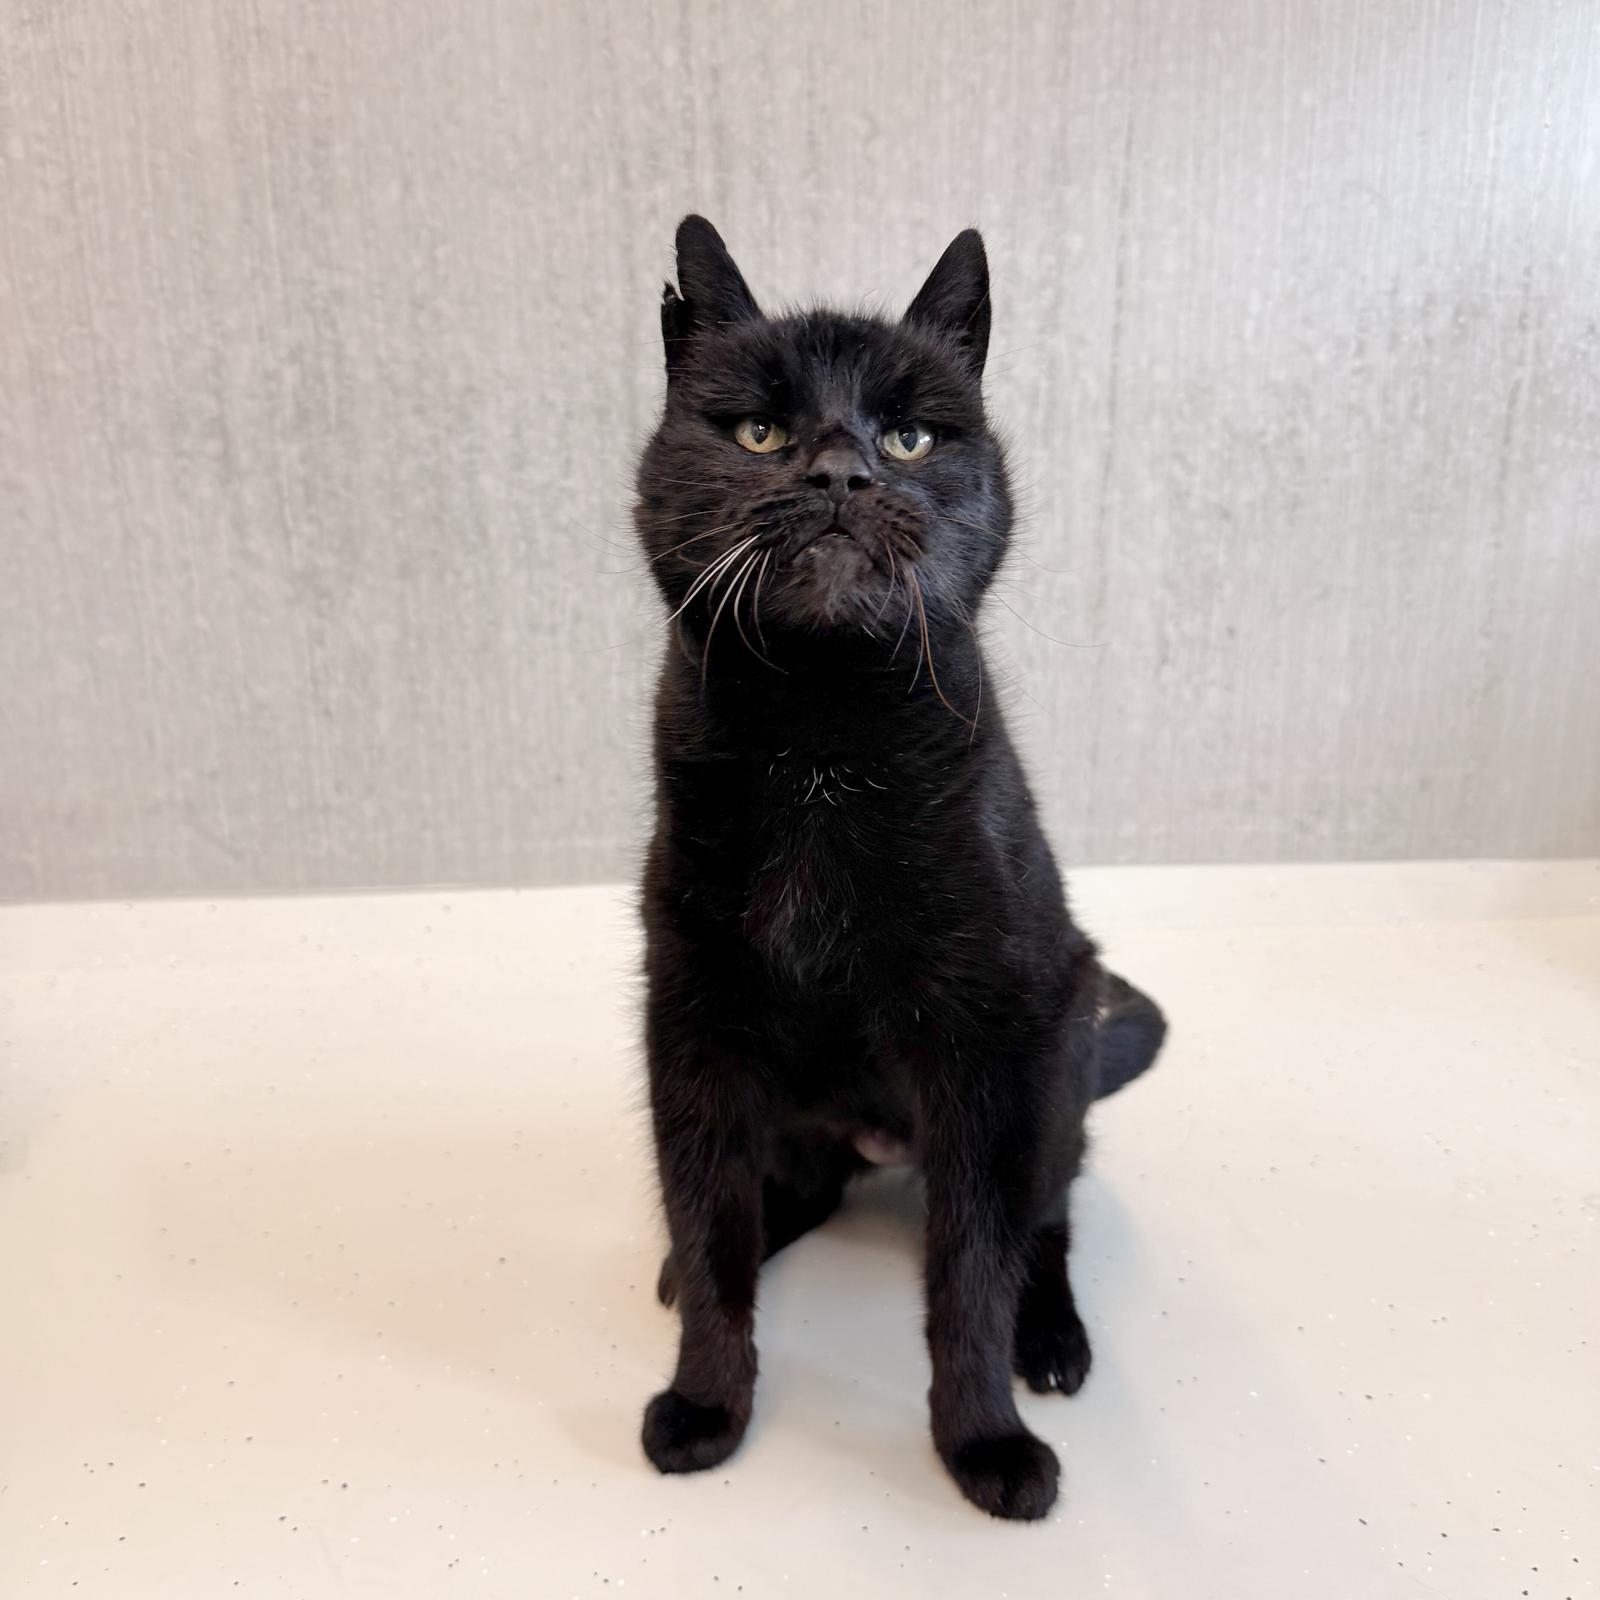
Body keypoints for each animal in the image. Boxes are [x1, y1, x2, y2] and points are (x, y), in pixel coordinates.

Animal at [633, 216, 1167, 1520]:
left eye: (910, 436)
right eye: (760, 431)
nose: (838, 474)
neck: (823, 741)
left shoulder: (982, 1044)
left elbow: (969, 1269)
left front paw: (982, 1443)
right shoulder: (692, 1015)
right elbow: (707, 1218)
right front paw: (706, 1401)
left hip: (1057, 1049)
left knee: (1045, 1217)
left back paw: (1051, 1338)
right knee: (786, 1194)